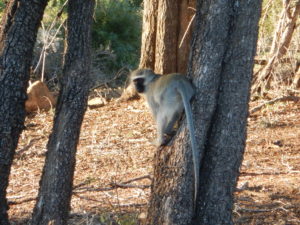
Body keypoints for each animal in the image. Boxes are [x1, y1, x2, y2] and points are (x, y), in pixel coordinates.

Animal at [130, 69, 198, 207]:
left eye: (139, 80)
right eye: (135, 80)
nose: (136, 87)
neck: (151, 80)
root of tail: (180, 82)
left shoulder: (150, 95)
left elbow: (156, 114)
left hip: (170, 99)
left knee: (162, 113)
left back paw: (161, 139)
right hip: (186, 95)